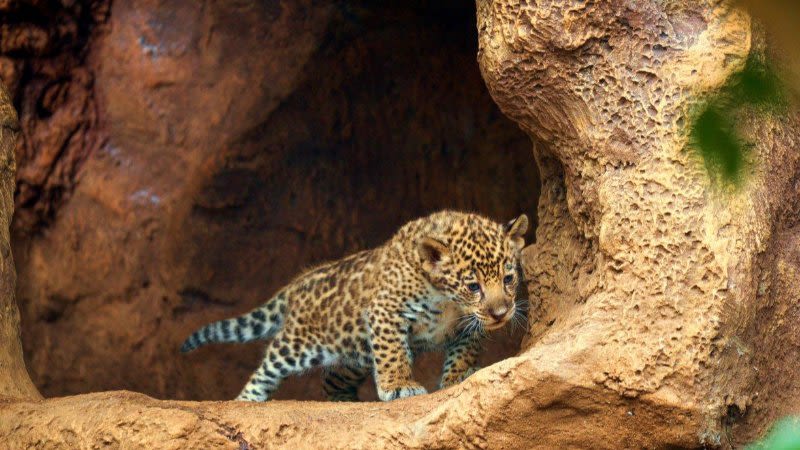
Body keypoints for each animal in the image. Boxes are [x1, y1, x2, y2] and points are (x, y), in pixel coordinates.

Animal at [180, 210, 529, 402]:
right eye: (473, 286)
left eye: (508, 279)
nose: (501, 313)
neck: (448, 301)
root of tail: (299, 282)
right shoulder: (386, 310)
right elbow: (393, 353)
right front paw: (398, 386)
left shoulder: (468, 325)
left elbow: (463, 350)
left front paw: (457, 377)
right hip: (297, 345)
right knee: (267, 368)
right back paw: (246, 400)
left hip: (352, 355)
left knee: (331, 379)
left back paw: (343, 401)